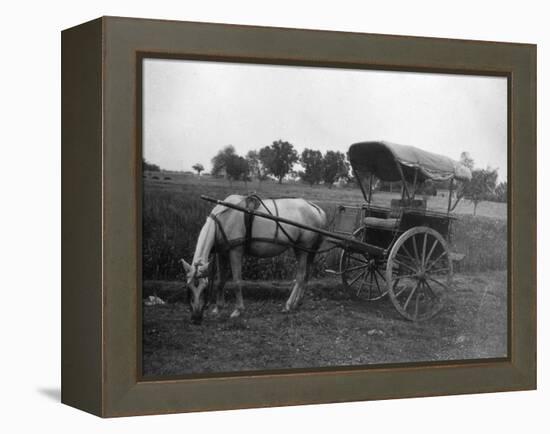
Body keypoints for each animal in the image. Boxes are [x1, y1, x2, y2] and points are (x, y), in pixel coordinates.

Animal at [181, 195, 328, 324]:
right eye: (189, 288)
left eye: (204, 289)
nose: (195, 319)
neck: (223, 219)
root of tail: (315, 207)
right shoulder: (222, 253)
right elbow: (220, 281)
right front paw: (218, 307)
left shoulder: (236, 252)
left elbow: (237, 281)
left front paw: (238, 310)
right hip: (306, 251)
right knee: (306, 275)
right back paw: (298, 302)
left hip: (303, 249)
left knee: (300, 276)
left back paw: (289, 304)